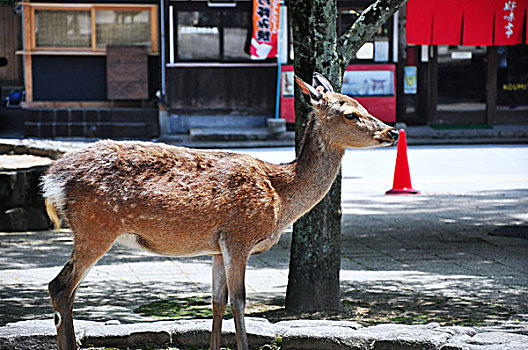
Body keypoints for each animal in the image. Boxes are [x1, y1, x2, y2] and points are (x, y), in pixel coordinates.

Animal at [40, 72, 396, 348]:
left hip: (91, 231)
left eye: (363, 104)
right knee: (60, 287)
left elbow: (217, 302)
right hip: (96, 228)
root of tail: (52, 180)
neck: (281, 198)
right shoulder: (239, 236)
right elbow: (239, 301)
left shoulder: (216, 247)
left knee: (66, 291)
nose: (391, 131)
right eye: (349, 113)